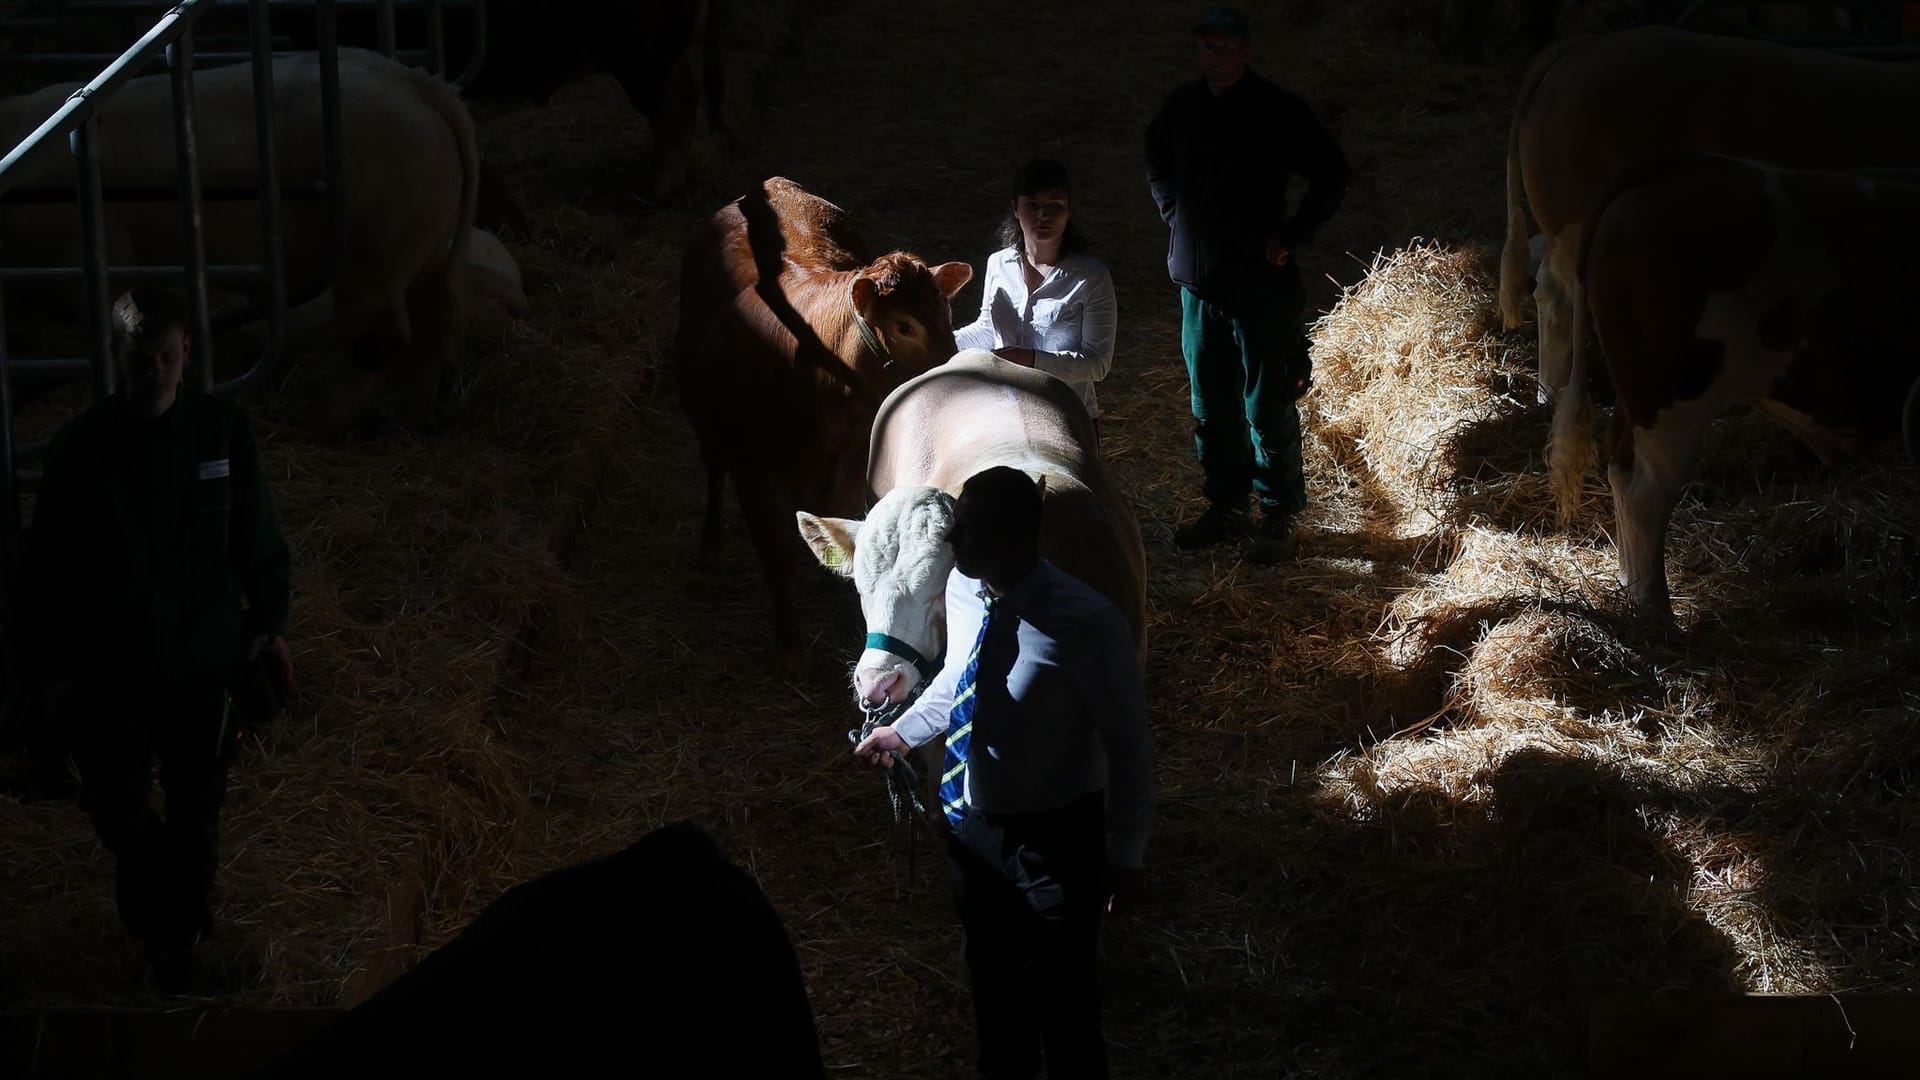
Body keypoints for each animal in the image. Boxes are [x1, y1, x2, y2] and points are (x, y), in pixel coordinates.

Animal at [0, 48, 480, 430]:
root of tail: (417, 85)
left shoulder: (95, 258)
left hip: (376, 243)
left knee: (382, 336)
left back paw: (316, 425)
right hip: (425, 243)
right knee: (435, 327)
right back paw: (406, 422)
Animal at [679, 176, 975, 653]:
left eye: (947, 314)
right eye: (903, 326)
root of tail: (772, 185)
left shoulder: (852, 472)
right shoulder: (752, 474)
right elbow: (776, 558)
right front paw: (789, 647)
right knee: (712, 465)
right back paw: (709, 549)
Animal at [1543, 156, 1920, 618]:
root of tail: (1679, 166)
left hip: (1639, 398)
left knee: (1621, 467)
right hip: (1673, 395)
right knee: (1646, 490)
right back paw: (1657, 612)